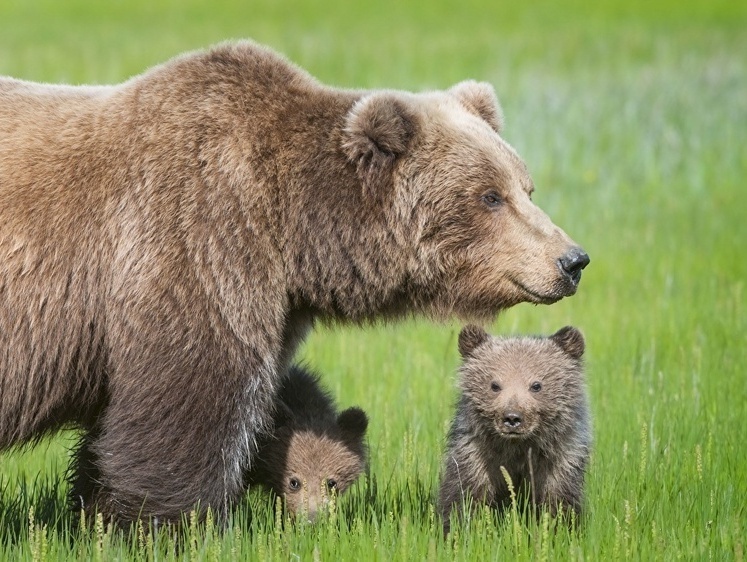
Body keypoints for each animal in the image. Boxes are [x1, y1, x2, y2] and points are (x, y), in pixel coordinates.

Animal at [0, 40, 592, 524]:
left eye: (526, 187)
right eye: (490, 196)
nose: (572, 260)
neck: (293, 229)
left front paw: (95, 514)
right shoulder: (194, 244)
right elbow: (189, 404)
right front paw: (170, 523)